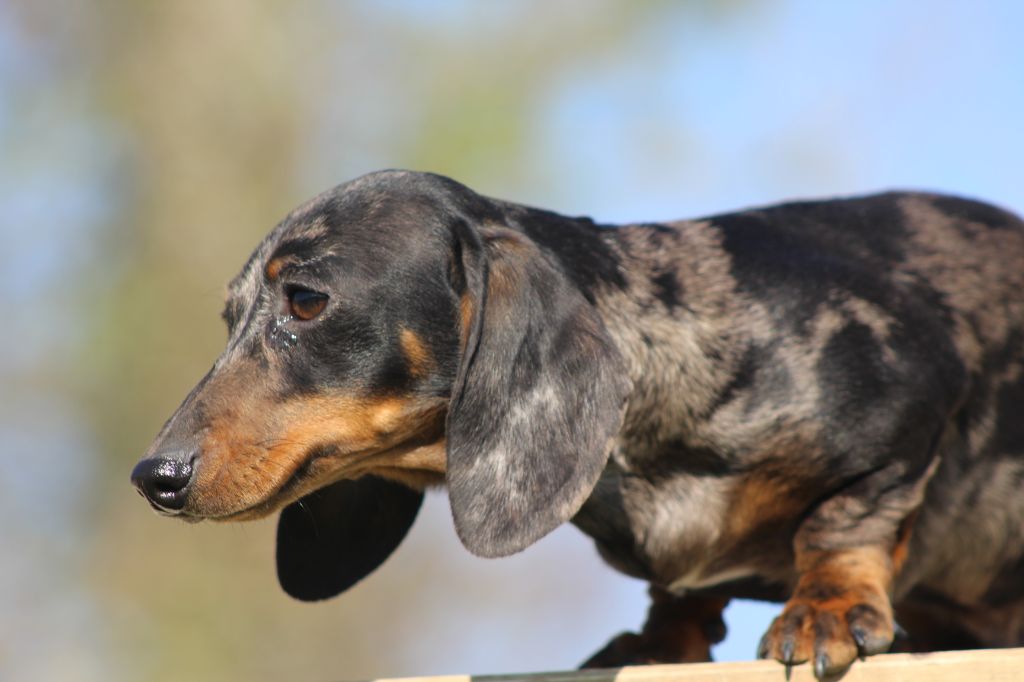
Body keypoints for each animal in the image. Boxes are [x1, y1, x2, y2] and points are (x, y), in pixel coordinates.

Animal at [132, 170, 1024, 679]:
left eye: (306, 300)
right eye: (230, 318)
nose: (154, 478)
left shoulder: (914, 408)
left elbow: (846, 521)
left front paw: (826, 605)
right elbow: (678, 595)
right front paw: (658, 639)